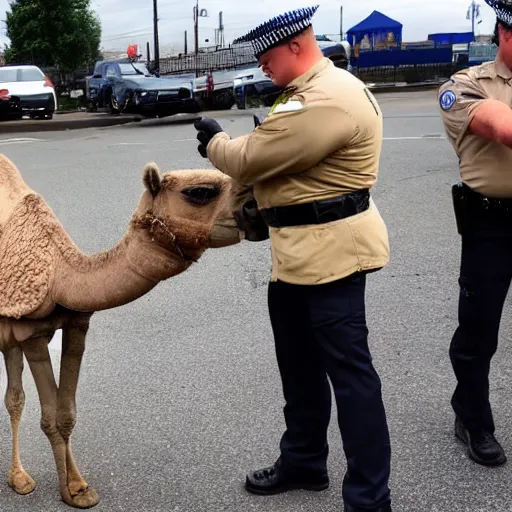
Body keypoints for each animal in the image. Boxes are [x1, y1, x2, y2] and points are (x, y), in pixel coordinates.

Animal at [0, 154, 258, 510]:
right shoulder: (31, 333)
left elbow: (65, 415)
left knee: (14, 397)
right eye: (200, 192)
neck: (62, 278)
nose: (257, 208)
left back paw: (19, 478)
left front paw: (79, 487)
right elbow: (50, 418)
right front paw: (69, 492)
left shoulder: (75, 324)